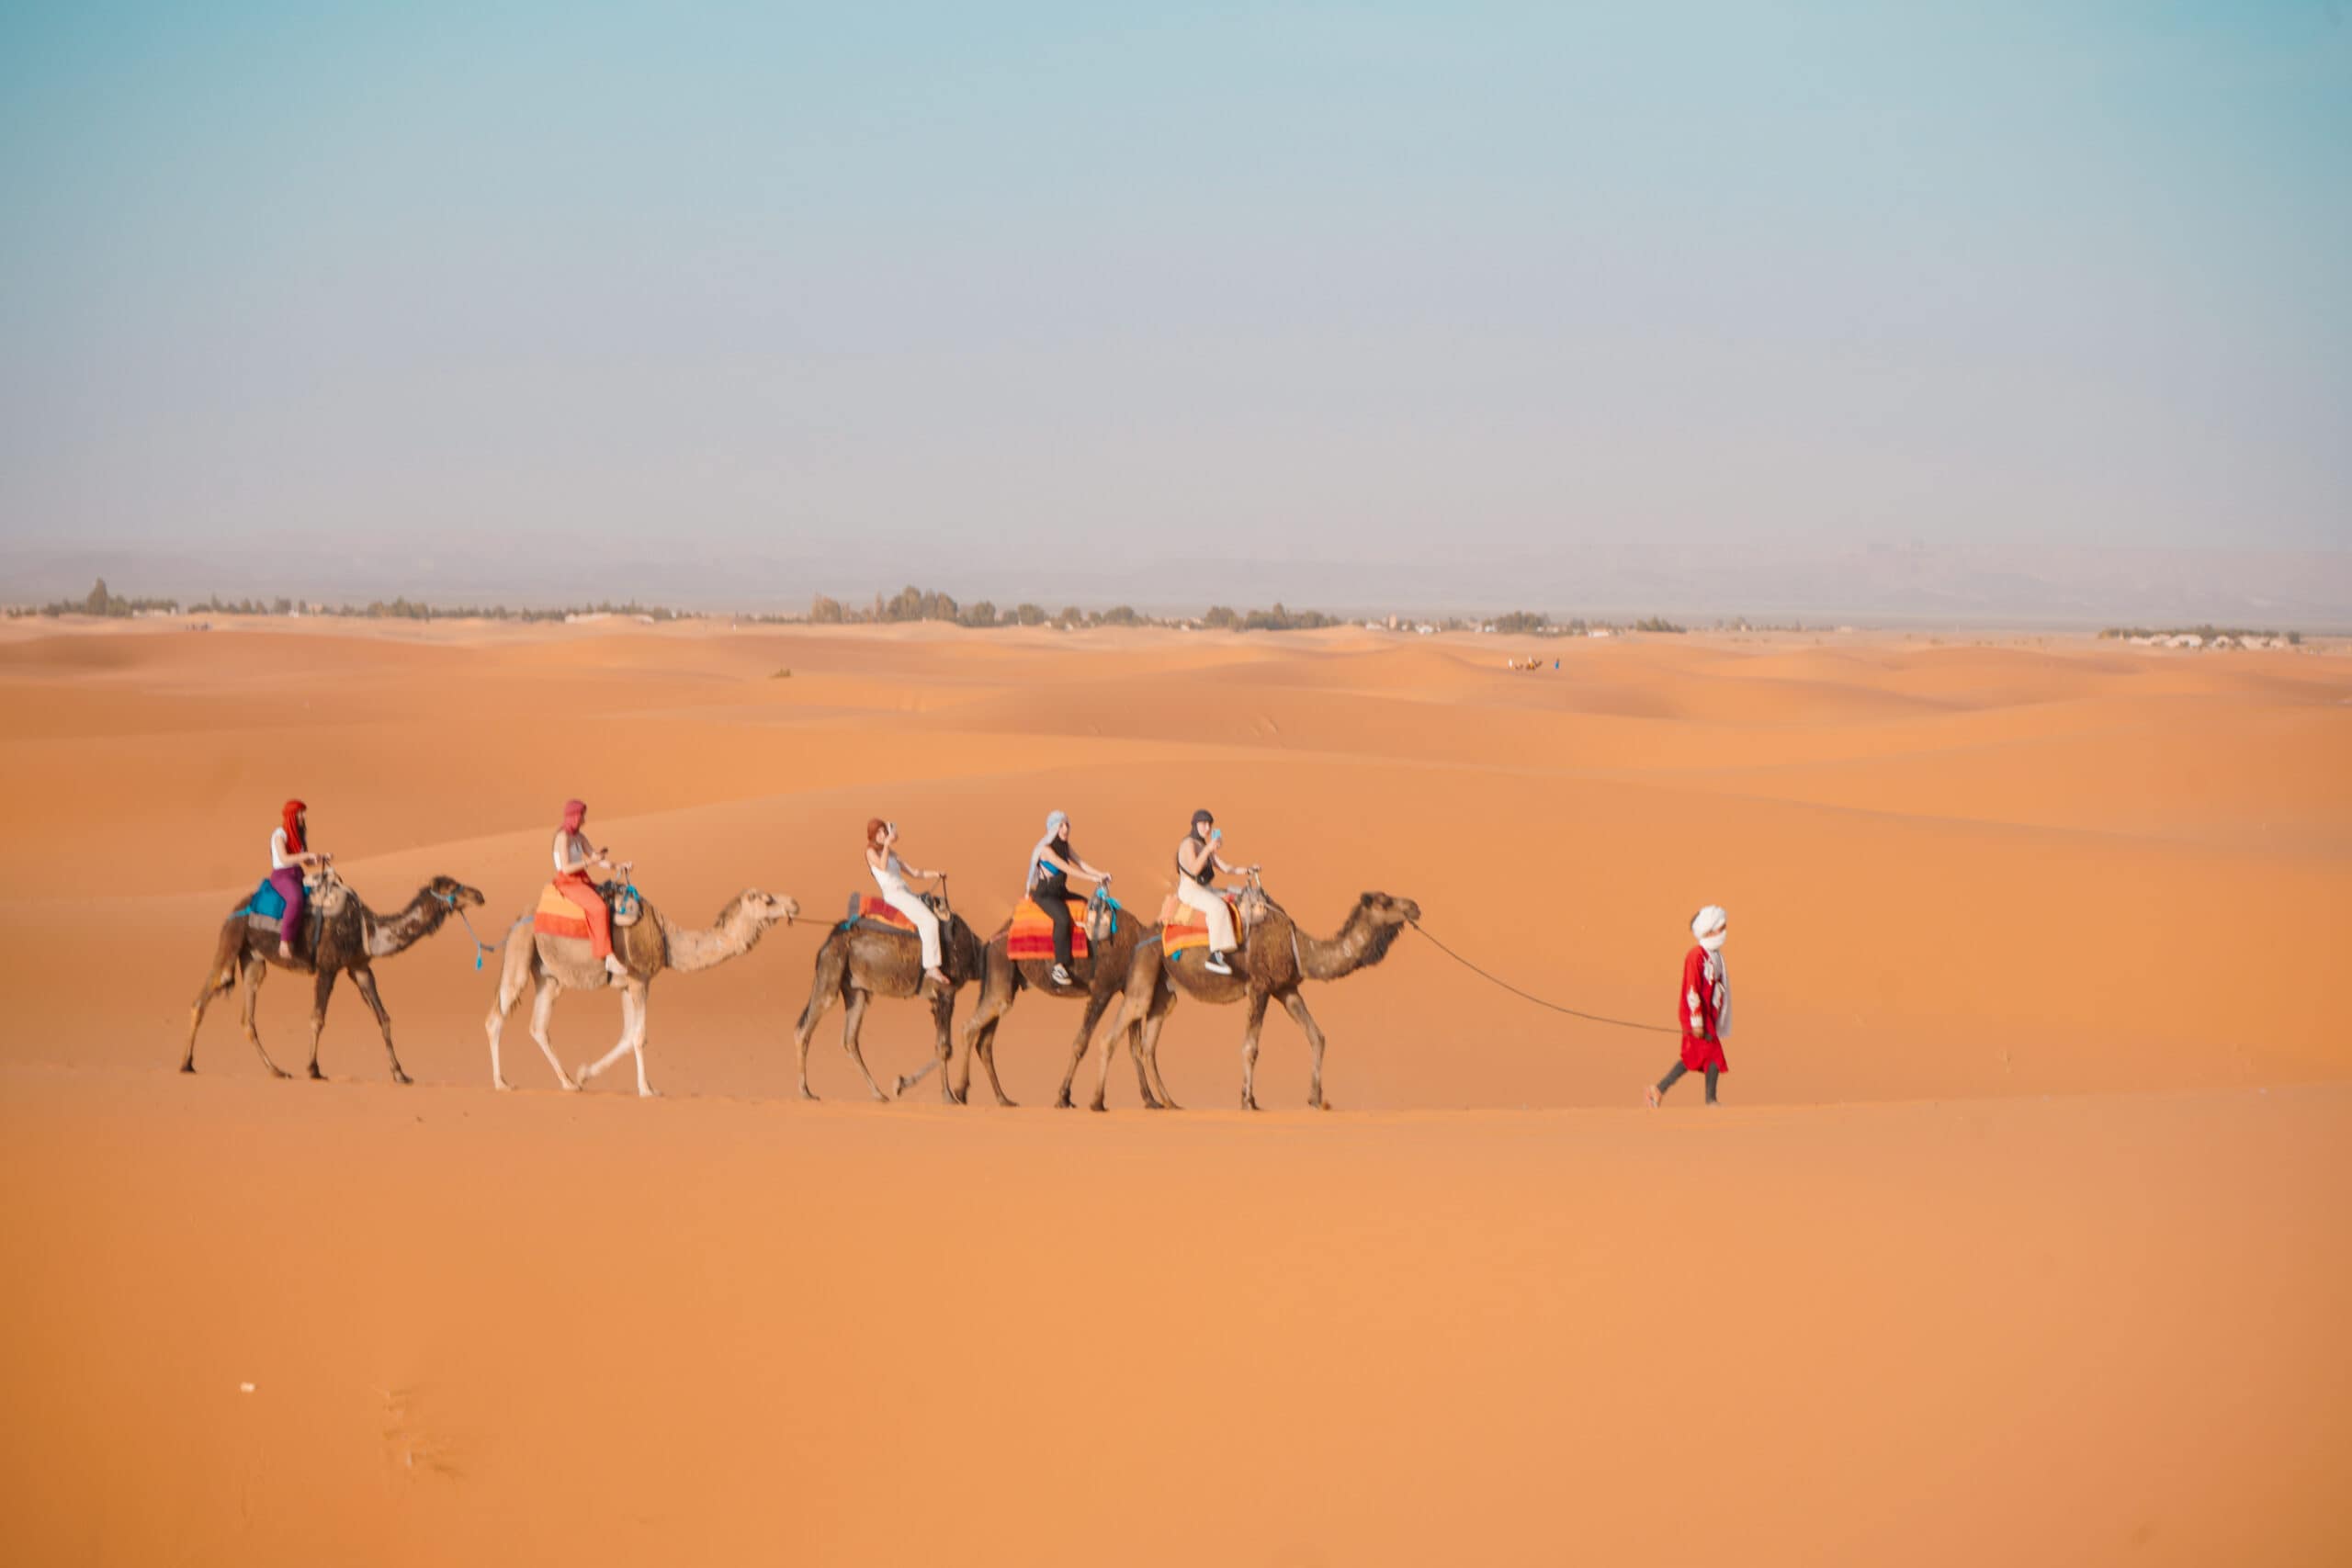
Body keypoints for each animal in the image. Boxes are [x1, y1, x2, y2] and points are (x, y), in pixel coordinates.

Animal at [182, 868, 487, 1084]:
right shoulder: (328, 966)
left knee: (248, 1017)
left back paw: (277, 1070)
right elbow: (318, 1018)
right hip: (231, 938)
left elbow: (383, 1017)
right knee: (204, 997)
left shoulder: (360, 966)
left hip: (254, 958)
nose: (479, 895)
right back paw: (186, 1063)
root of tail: (236, 907)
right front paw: (313, 1069)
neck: (368, 929)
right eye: (452, 887)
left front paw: (400, 1073)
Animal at [484, 888, 800, 1097]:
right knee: (496, 1017)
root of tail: (518, 918)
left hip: (548, 975)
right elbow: (638, 1036)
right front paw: (647, 1090)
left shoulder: (628, 985)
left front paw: (585, 1074)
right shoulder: (639, 981)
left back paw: (568, 1083)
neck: (666, 937)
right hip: (521, 950)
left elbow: (627, 1036)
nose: (795, 903)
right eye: (768, 899)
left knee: (538, 1026)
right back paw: (501, 1083)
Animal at [792, 900, 987, 1103]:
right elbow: (945, 1048)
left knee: (849, 1039)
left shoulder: (935, 1000)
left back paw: (878, 1094)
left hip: (856, 989)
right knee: (805, 1027)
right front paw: (948, 1096)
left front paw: (901, 1084)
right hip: (832, 967)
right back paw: (806, 1092)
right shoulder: (946, 992)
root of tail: (828, 940)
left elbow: (941, 1047)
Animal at [892, 889, 1163, 1109]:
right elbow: (1081, 1043)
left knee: (985, 1041)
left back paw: (1002, 1099)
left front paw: (1150, 1100)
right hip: (1001, 970)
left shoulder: (1126, 989)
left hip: (1003, 981)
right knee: (970, 1028)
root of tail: (990, 941)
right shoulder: (1103, 988)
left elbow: (1134, 1048)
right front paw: (1063, 1097)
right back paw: (959, 1092)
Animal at [1112, 885, 1421, 1111]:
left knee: (1147, 1045)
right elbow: (1251, 1047)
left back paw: (1166, 1101)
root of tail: (1143, 932)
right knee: (1130, 1031)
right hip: (1147, 964)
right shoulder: (1260, 987)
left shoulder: (1286, 989)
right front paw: (1248, 1101)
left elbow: (1317, 1036)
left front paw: (1316, 1098)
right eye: (1385, 902)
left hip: (1165, 990)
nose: (1415, 906)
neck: (1299, 947)